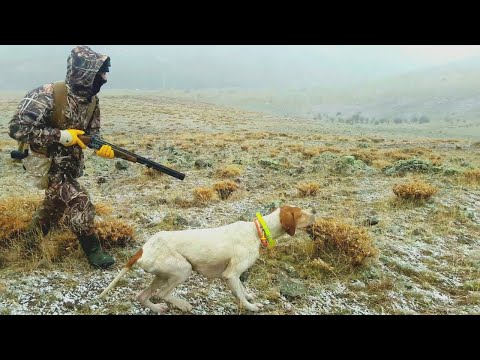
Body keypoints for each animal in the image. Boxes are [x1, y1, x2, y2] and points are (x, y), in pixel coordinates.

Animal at [99, 205, 316, 312]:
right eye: (300, 214)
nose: (315, 211)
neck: (257, 230)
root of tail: (143, 249)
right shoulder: (231, 275)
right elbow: (240, 296)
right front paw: (251, 307)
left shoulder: (236, 275)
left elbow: (243, 290)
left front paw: (249, 297)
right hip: (183, 270)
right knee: (162, 293)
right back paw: (182, 305)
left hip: (162, 274)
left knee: (142, 296)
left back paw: (157, 308)